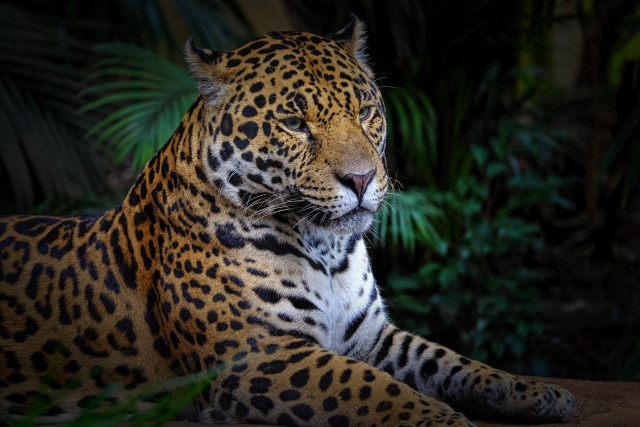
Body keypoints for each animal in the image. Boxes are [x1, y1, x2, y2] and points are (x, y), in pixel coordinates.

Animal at [0, 15, 575, 426]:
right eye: (295, 123)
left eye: (366, 112)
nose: (362, 179)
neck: (328, 248)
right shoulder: (259, 356)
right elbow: (378, 390)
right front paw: (446, 422)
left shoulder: (368, 335)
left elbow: (445, 360)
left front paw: (531, 390)